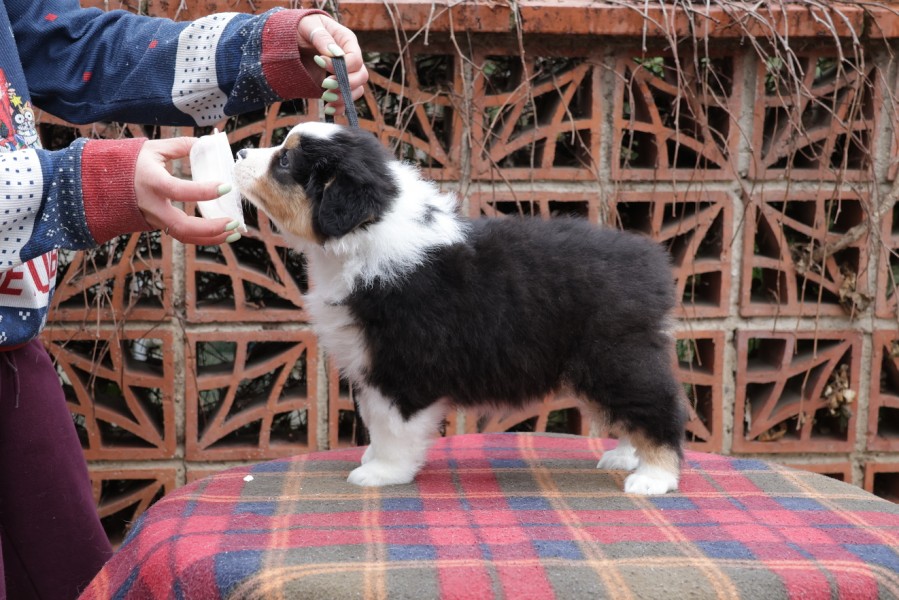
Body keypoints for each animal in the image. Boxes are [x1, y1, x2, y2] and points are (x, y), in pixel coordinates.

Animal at [234, 122, 687, 495]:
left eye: (285, 160)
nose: (239, 152)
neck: (364, 235)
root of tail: (648, 261)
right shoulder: (368, 361)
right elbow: (375, 419)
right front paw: (374, 458)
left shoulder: (402, 363)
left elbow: (392, 424)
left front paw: (382, 472)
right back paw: (626, 455)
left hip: (610, 356)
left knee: (657, 406)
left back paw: (654, 476)